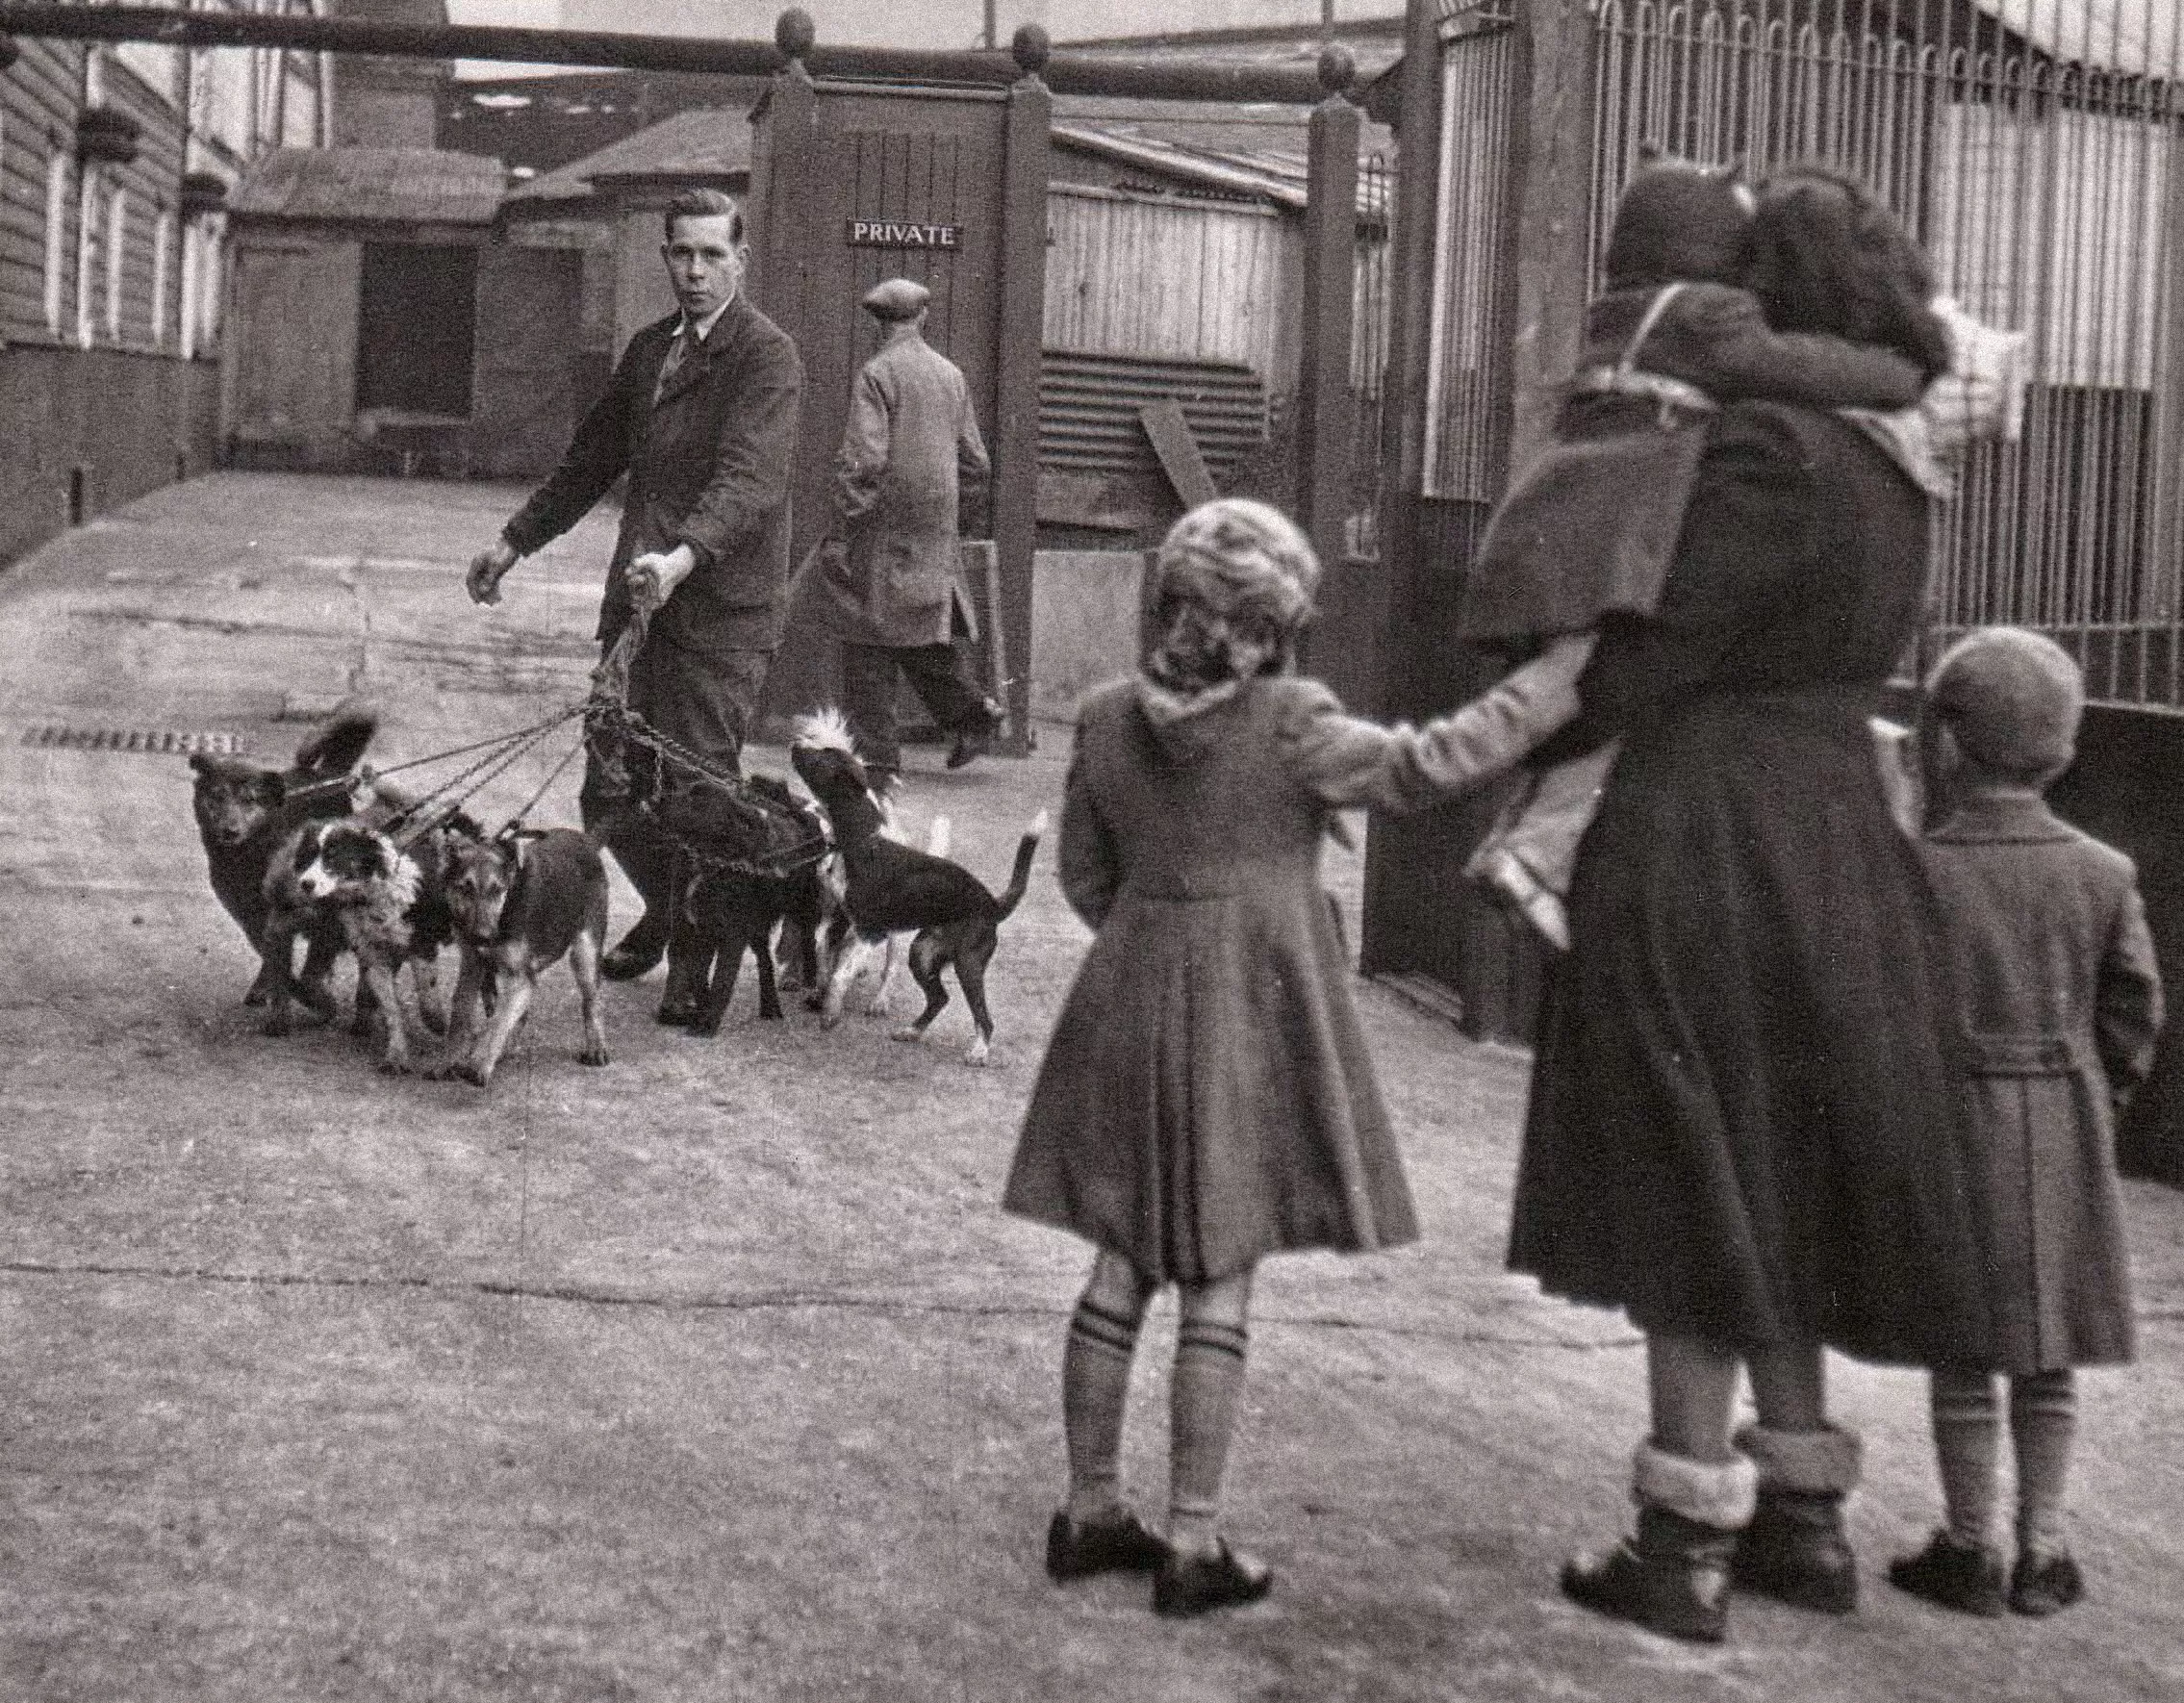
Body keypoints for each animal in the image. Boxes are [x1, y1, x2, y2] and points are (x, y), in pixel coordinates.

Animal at [430, 829, 611, 1091]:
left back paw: (596, 1047)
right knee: (520, 1014)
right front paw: (447, 1060)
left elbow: (497, 1023)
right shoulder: (473, 965)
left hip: (585, 952)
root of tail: (585, 838)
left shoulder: (520, 979)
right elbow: (461, 1016)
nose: (484, 936)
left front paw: (479, 1063)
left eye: (497, 890)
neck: (507, 907)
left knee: (591, 1001)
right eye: (465, 889)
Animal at [790, 707, 1044, 1065]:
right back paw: (912, 1031)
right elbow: (825, 957)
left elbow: (842, 972)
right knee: (940, 998)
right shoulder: (841, 919)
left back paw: (978, 1050)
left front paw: (831, 1012)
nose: (795, 744)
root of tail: (994, 904)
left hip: (966, 963)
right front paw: (820, 994)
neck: (863, 842)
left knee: (981, 1014)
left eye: (824, 757)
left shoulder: (872, 930)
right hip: (923, 953)